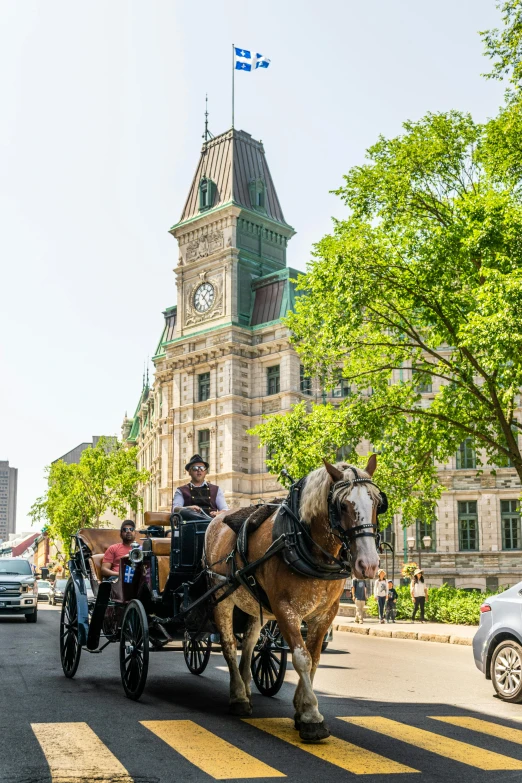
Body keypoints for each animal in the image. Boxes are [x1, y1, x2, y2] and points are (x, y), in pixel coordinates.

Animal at [205, 454, 380, 740]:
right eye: (342, 505)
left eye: (377, 502)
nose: (369, 564)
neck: (300, 541)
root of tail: (216, 518)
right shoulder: (285, 609)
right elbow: (301, 658)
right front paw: (311, 715)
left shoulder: (325, 613)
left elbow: (314, 658)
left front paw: (300, 708)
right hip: (222, 597)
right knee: (229, 644)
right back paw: (238, 695)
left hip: (254, 604)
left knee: (250, 643)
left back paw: (247, 686)